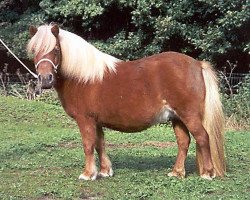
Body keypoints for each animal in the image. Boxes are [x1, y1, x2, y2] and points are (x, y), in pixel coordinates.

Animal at [27, 24, 227, 180]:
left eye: (56, 50)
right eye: (34, 51)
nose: (45, 79)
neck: (82, 77)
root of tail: (197, 64)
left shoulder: (85, 120)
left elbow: (88, 145)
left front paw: (88, 174)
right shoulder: (97, 121)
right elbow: (100, 144)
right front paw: (105, 171)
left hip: (189, 115)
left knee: (203, 137)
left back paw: (207, 173)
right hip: (177, 118)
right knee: (184, 141)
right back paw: (177, 172)